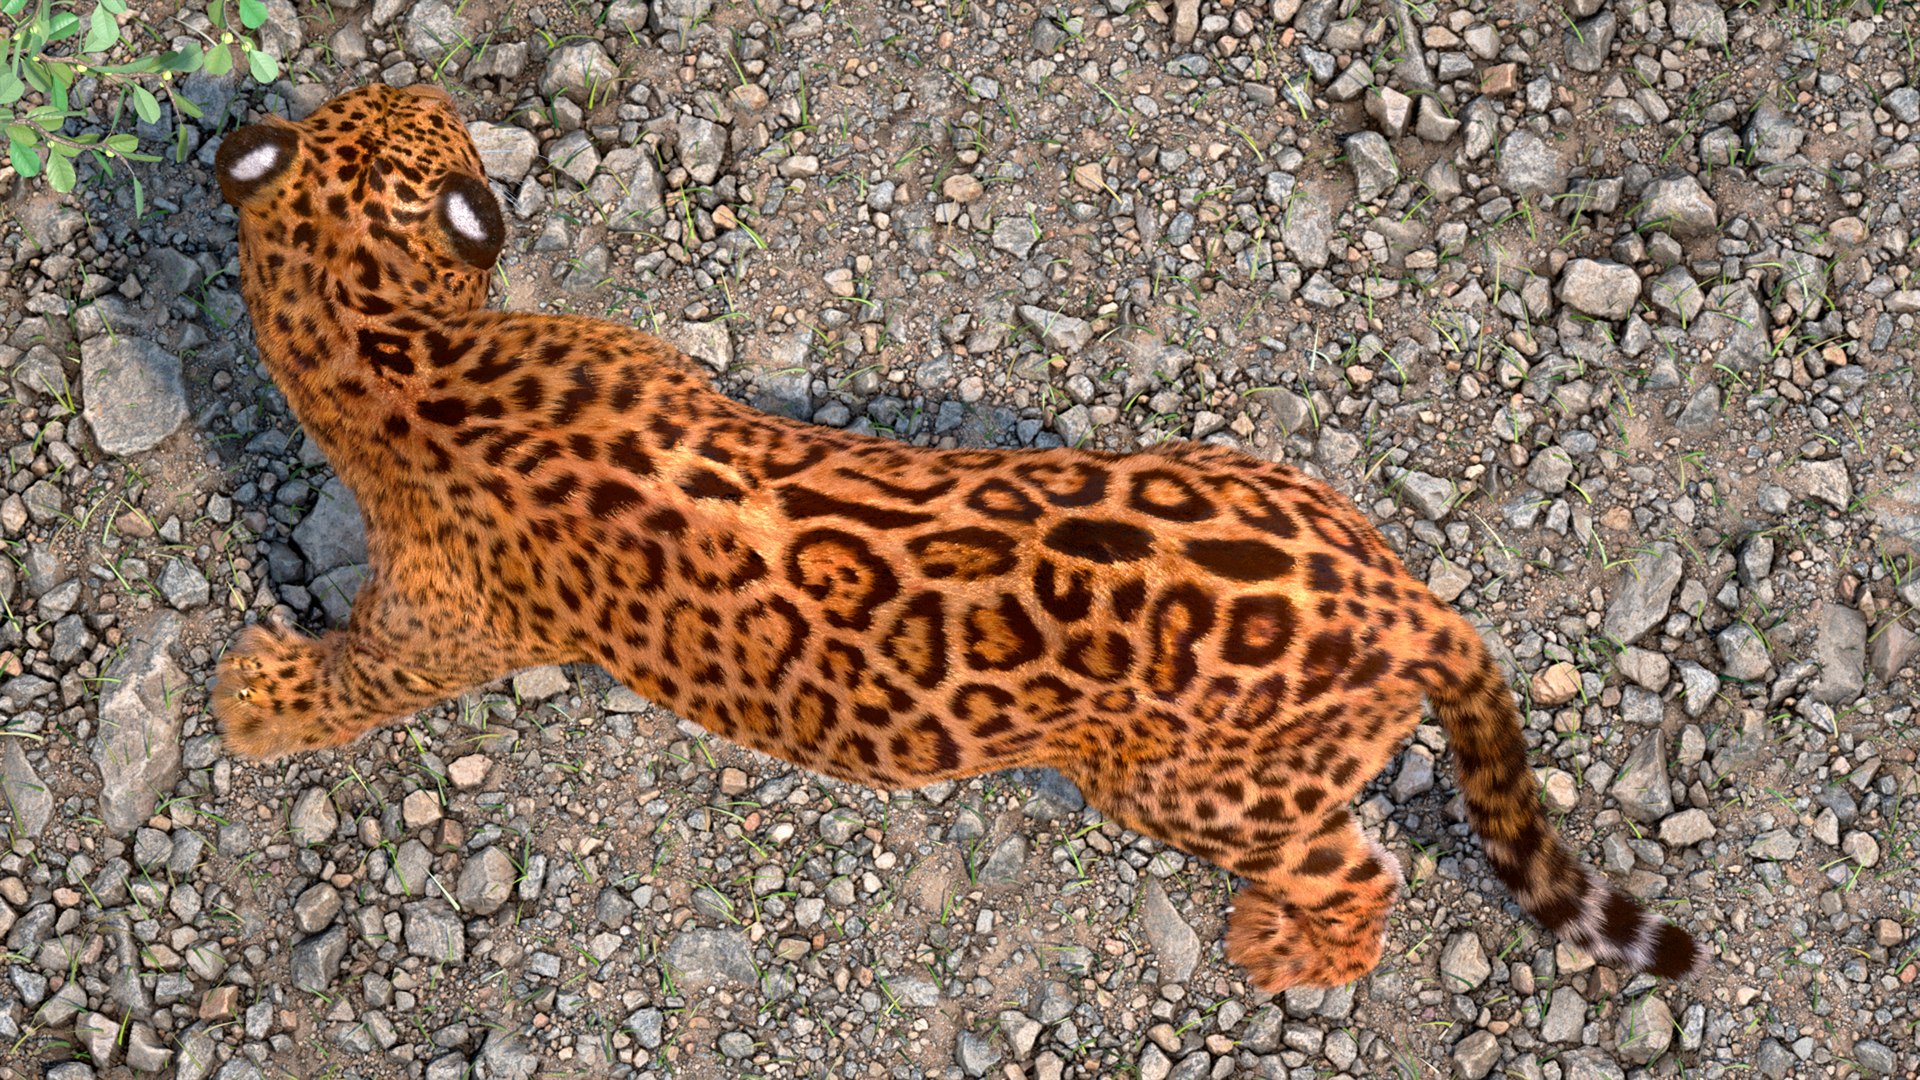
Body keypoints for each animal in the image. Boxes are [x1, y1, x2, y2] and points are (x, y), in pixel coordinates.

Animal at [211, 83, 1702, 990]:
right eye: (386, 113)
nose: (440, 96)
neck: (394, 341)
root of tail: (1407, 603)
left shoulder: (442, 623)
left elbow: (356, 681)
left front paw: (252, 698)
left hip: (1194, 792)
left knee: (1358, 869)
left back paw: (1289, 953)